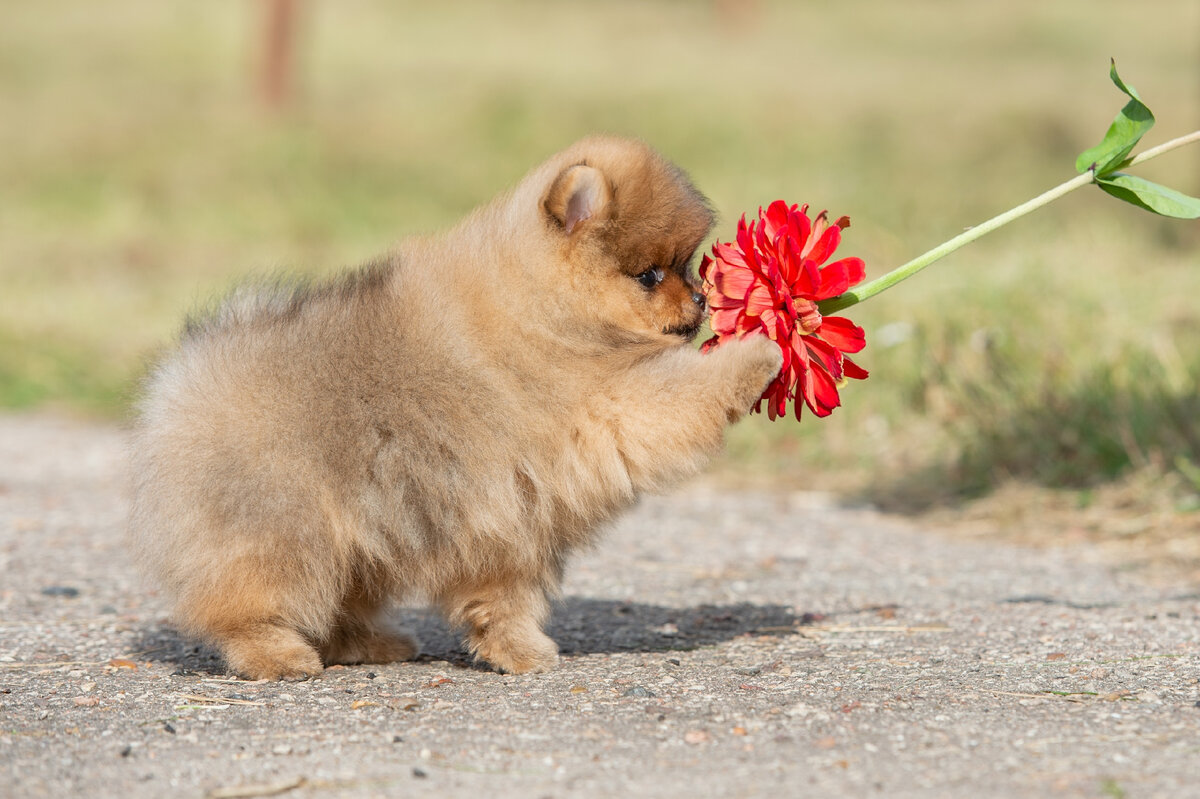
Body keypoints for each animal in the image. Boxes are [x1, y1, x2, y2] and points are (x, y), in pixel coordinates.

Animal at [126, 136, 782, 676]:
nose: (701, 298)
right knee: (241, 604)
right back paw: (277, 655)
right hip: (282, 528)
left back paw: (371, 643)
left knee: (336, 600)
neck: (540, 308)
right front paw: (763, 350)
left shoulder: (518, 515)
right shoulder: (605, 408)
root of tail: (178, 383)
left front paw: (517, 650)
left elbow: (504, 597)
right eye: (650, 275)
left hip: (362, 537)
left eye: (687, 265)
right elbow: (682, 395)